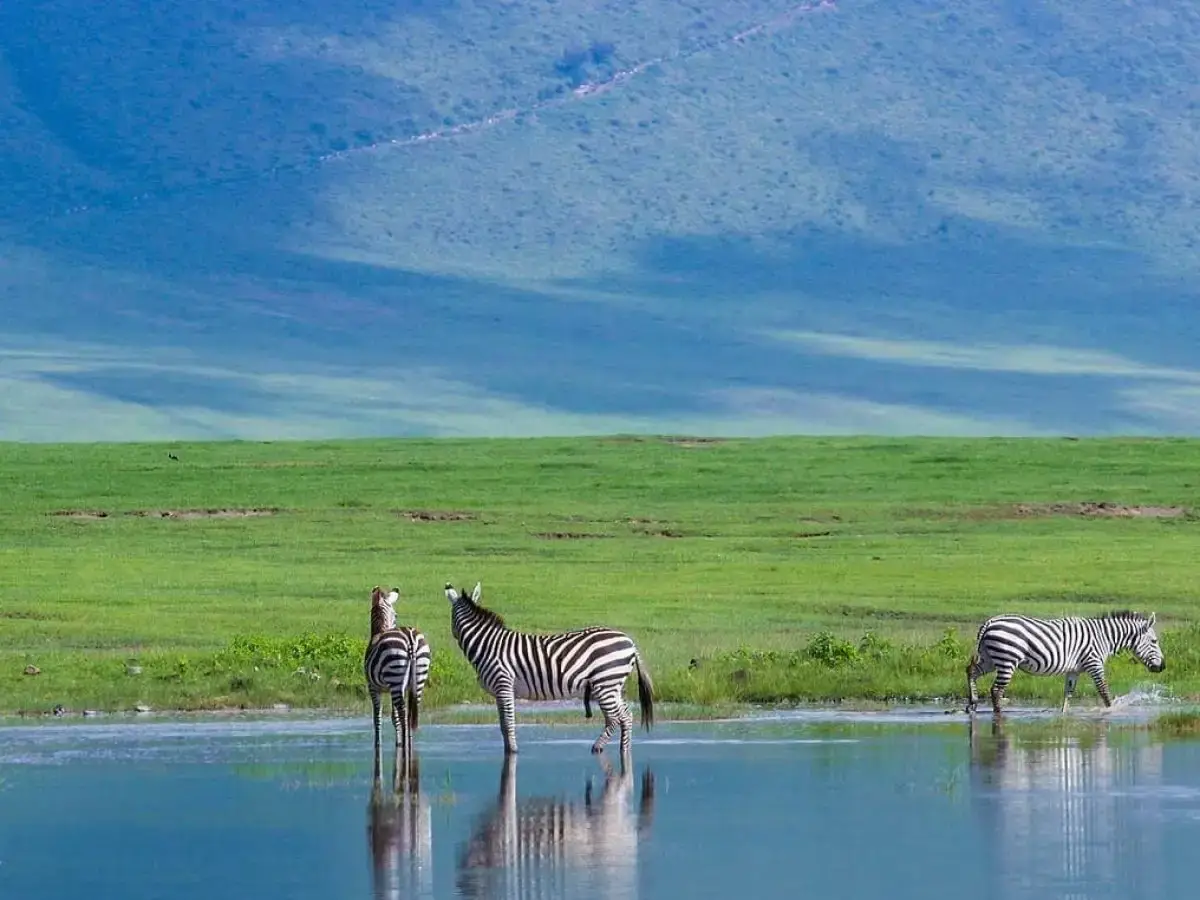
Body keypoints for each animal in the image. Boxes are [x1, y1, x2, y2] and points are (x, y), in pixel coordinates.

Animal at [362, 585, 434, 787]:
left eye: (396, 614)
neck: (380, 630)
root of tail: (410, 638)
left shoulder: (374, 687)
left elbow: (377, 716)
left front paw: (378, 744)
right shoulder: (400, 687)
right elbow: (394, 717)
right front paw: (399, 742)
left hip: (394, 674)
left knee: (403, 712)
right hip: (418, 678)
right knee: (410, 713)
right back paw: (409, 740)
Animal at [446, 585, 657, 763]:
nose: (453, 635)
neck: (488, 645)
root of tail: (629, 641)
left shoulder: (504, 684)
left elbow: (508, 723)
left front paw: (513, 752)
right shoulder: (500, 691)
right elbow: (502, 725)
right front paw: (508, 750)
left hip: (605, 683)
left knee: (614, 718)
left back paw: (597, 748)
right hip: (613, 685)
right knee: (626, 715)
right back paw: (624, 750)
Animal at [960, 614, 1166, 720]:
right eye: (1154, 641)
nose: (1162, 667)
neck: (1104, 637)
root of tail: (990, 622)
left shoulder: (1073, 670)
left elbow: (1068, 694)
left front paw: (1064, 715)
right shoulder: (1094, 663)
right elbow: (1104, 691)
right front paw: (1111, 711)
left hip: (990, 659)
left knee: (971, 671)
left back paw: (973, 703)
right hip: (1007, 660)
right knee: (996, 690)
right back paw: (998, 715)